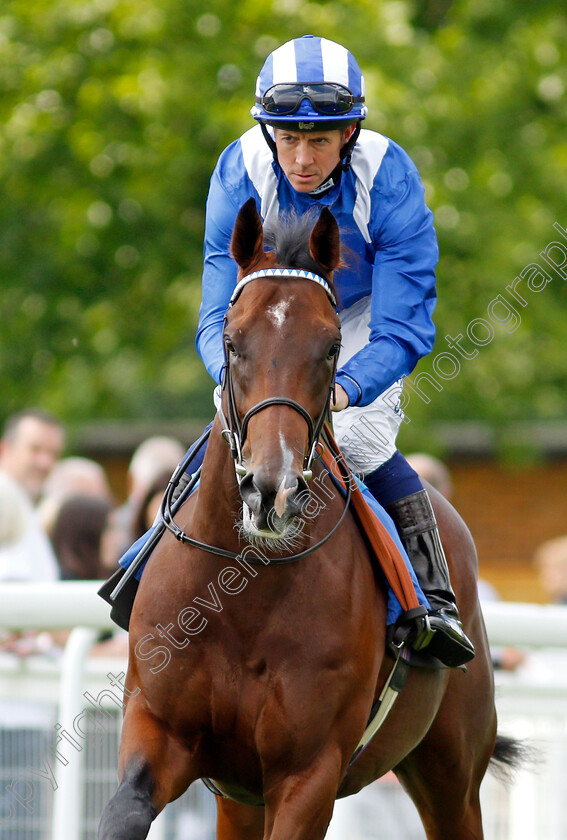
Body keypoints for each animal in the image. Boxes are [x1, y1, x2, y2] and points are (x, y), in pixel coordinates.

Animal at [100, 199, 516, 840]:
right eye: (232, 340)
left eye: (331, 346)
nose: (270, 489)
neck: (243, 590)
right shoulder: (161, 730)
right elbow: (124, 812)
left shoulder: (309, 773)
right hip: (239, 800)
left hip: (451, 768)